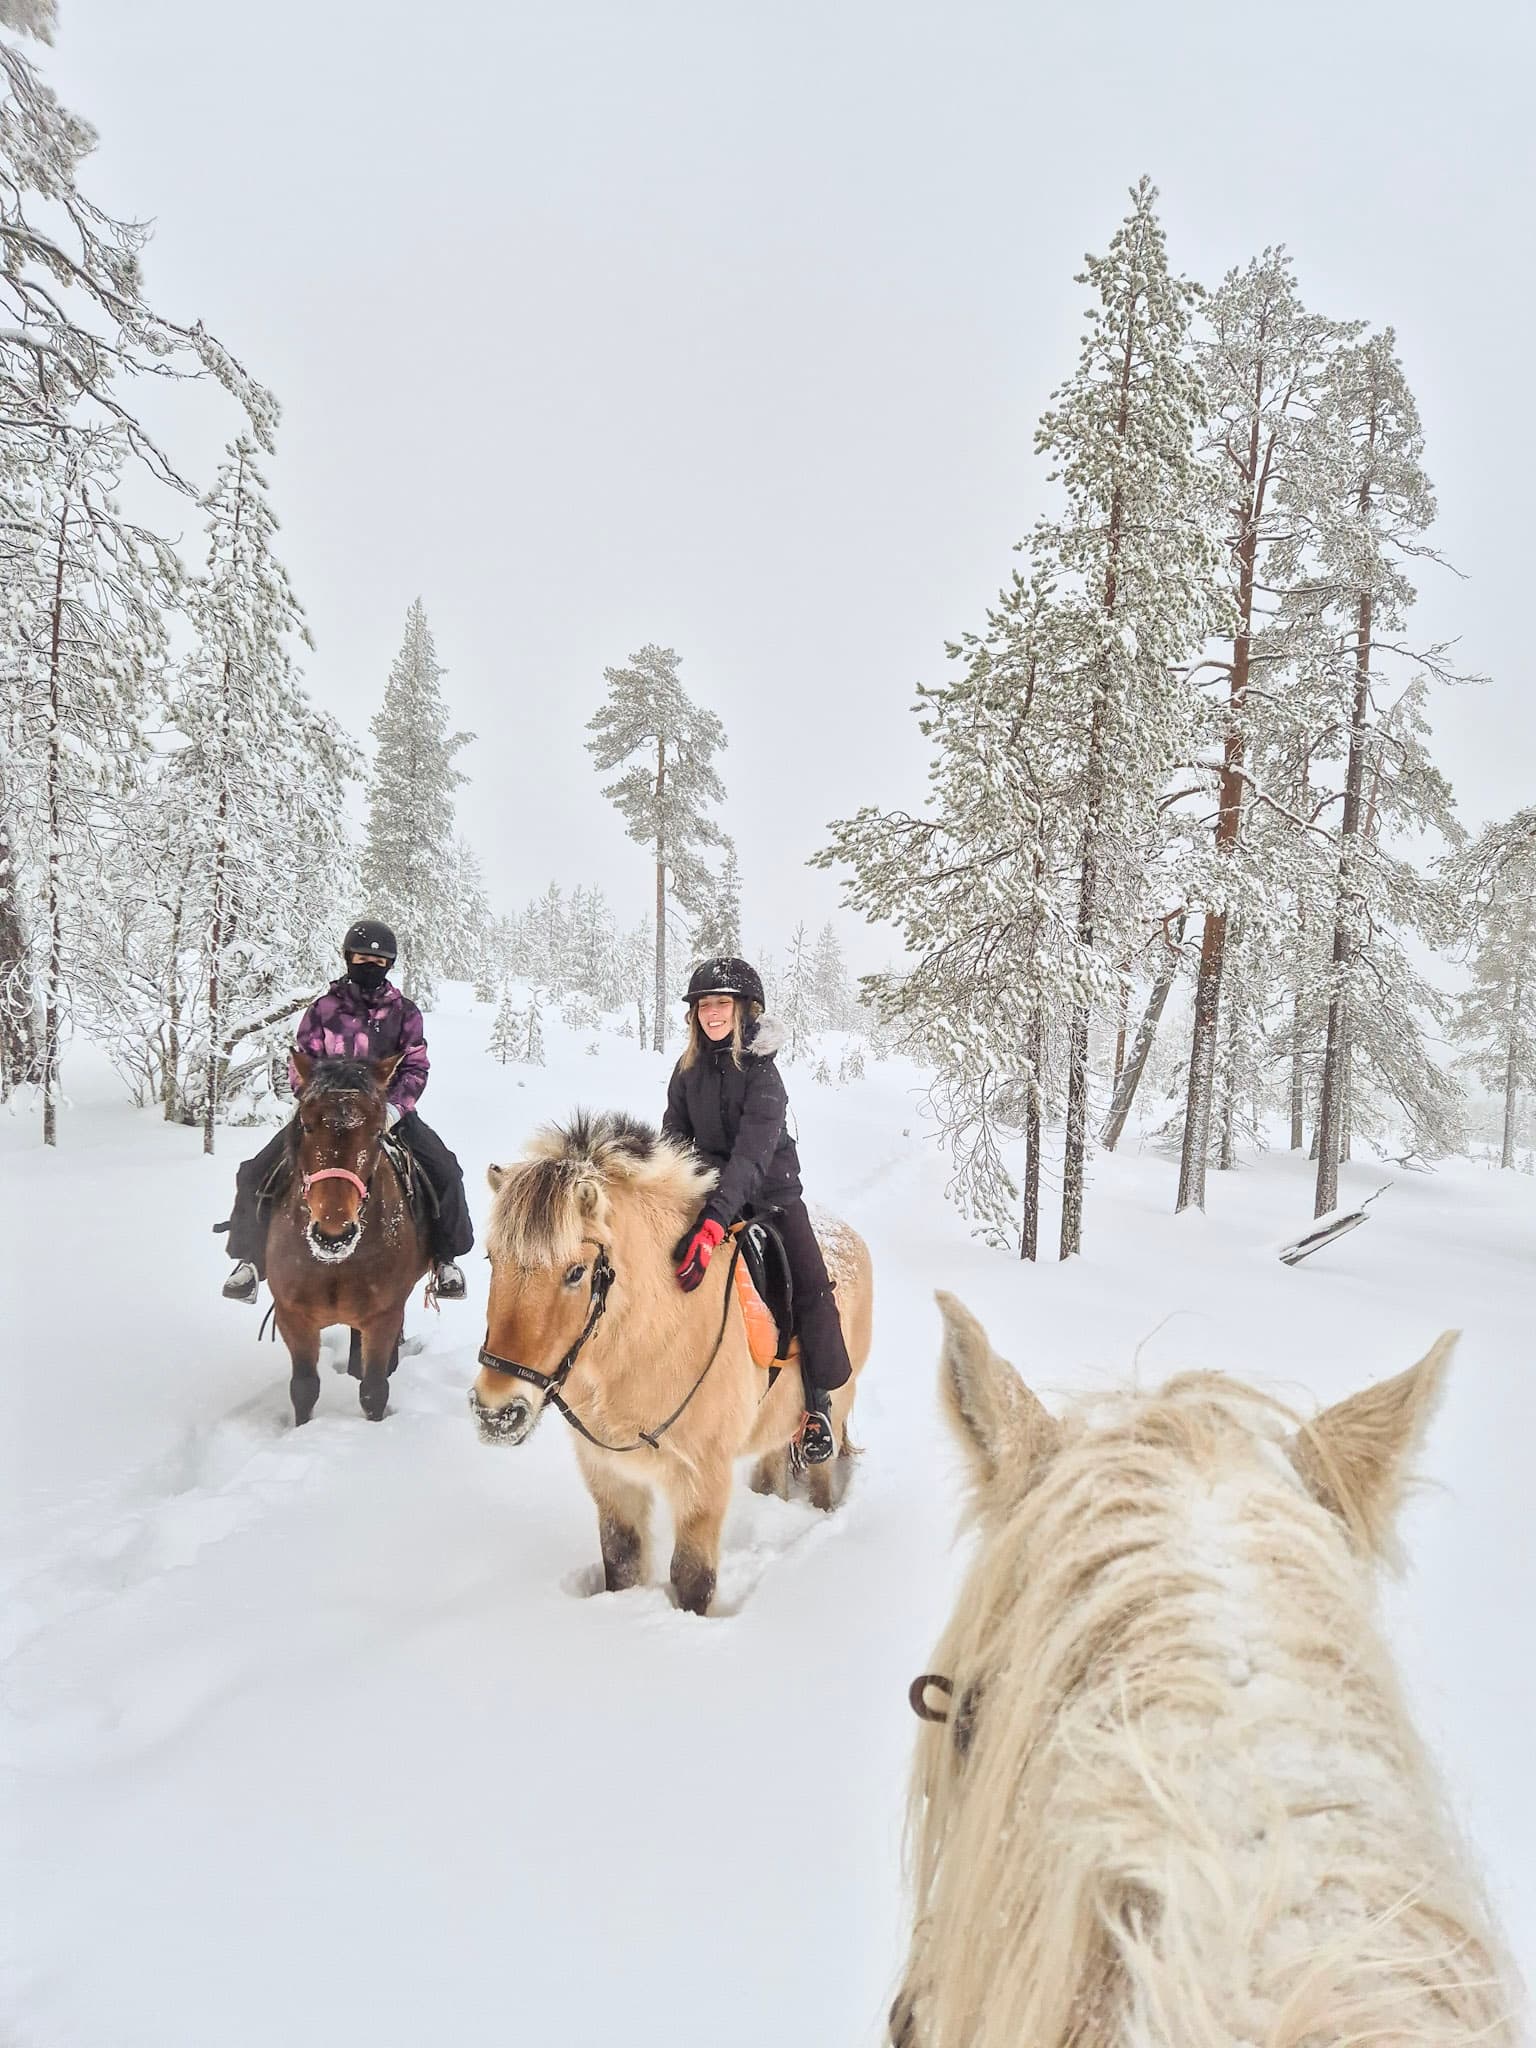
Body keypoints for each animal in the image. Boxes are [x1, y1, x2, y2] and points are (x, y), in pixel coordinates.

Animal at [265, 1052, 431, 1426]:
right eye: (307, 1124)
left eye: (376, 1131)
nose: (333, 1235)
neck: (336, 1262)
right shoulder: (293, 1316)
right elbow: (304, 1388)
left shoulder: (383, 1316)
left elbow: (374, 1390)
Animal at [467, 1111, 873, 1615]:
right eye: (492, 1258)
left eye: (576, 1272)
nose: (496, 1413)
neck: (650, 1337)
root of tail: (847, 1233)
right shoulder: (607, 1474)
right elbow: (620, 1557)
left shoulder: (702, 1479)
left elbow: (693, 1578)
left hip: (835, 1403)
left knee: (820, 1473)